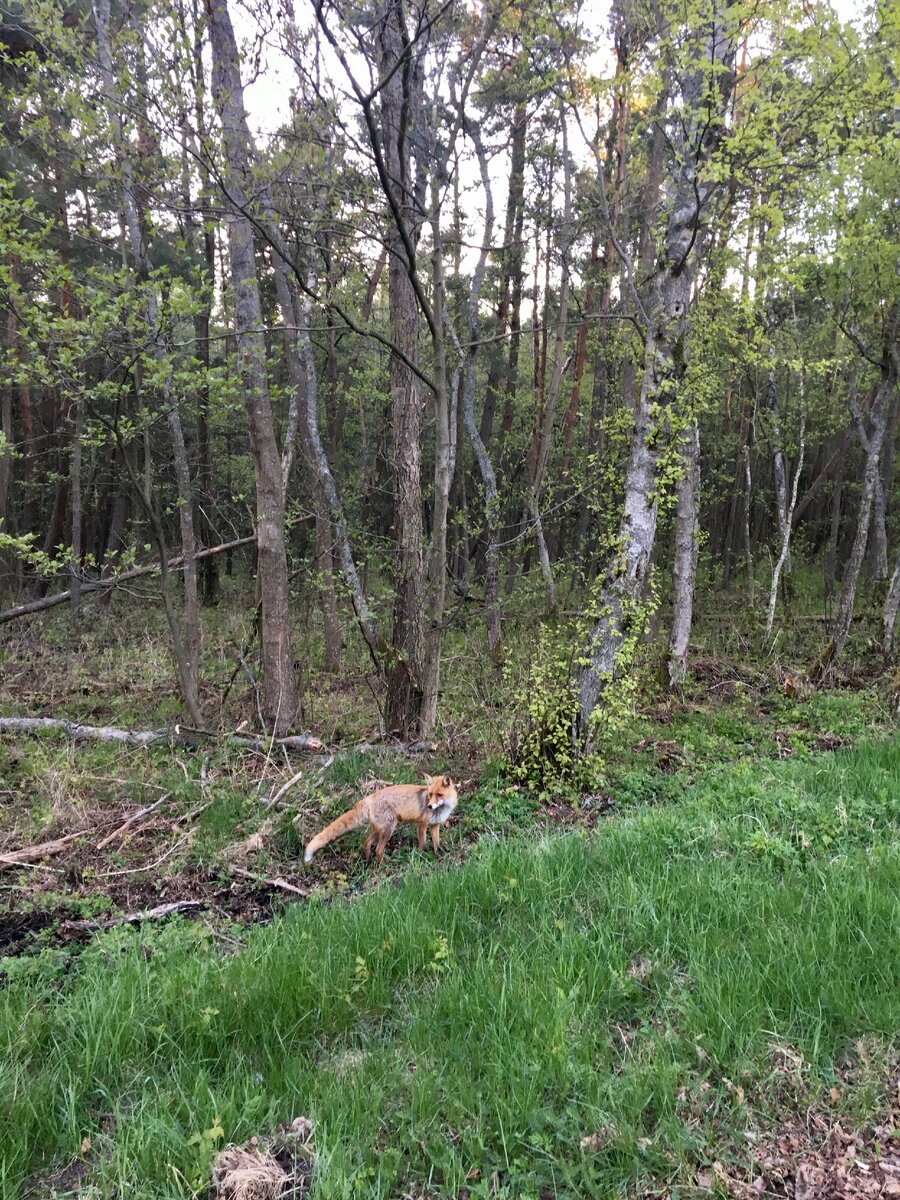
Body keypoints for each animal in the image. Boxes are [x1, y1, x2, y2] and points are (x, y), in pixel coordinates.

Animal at [304, 772, 458, 868]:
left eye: (439, 794)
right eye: (430, 794)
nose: (429, 806)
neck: (442, 809)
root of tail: (369, 797)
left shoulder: (435, 825)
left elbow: (436, 843)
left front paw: (438, 856)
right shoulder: (422, 824)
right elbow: (423, 843)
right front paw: (420, 856)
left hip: (378, 829)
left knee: (367, 843)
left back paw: (367, 861)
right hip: (388, 829)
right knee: (378, 850)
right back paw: (385, 865)